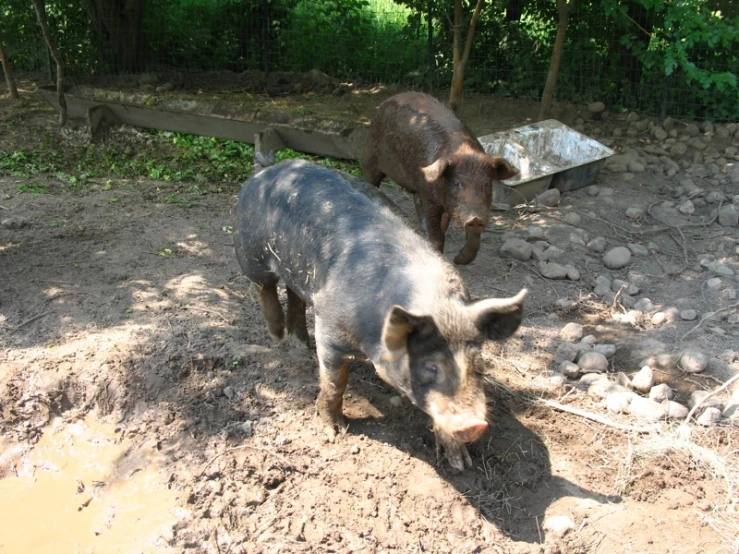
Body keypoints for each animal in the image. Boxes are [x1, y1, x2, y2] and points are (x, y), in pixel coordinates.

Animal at [233, 157, 528, 468]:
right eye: (430, 366)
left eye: (479, 366)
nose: (475, 424)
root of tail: (267, 171)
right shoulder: (329, 328)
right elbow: (335, 382)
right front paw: (334, 431)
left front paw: (461, 464)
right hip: (249, 249)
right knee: (265, 286)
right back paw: (278, 335)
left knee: (294, 293)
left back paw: (300, 345)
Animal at [364, 90, 520, 264]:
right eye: (457, 182)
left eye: (487, 183)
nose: (475, 218)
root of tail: (387, 101)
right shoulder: (429, 197)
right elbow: (436, 235)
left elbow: (474, 238)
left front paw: (458, 260)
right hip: (371, 154)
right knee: (370, 178)